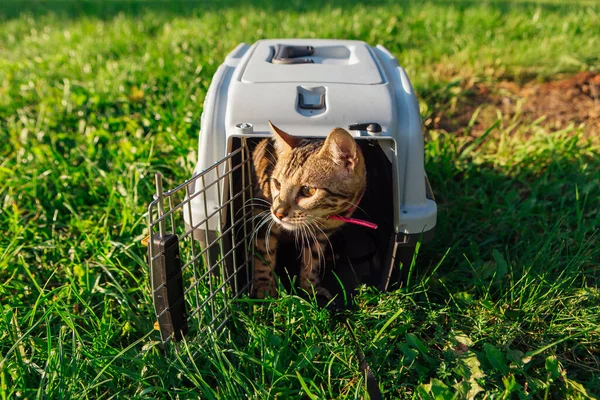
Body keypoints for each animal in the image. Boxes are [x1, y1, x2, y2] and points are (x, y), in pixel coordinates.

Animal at [248, 122, 366, 300]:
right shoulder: (261, 215)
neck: (322, 217)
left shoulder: (321, 234)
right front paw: (265, 287)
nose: (277, 213)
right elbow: (264, 253)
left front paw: (310, 288)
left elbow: (313, 258)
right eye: (276, 183)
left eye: (308, 190)